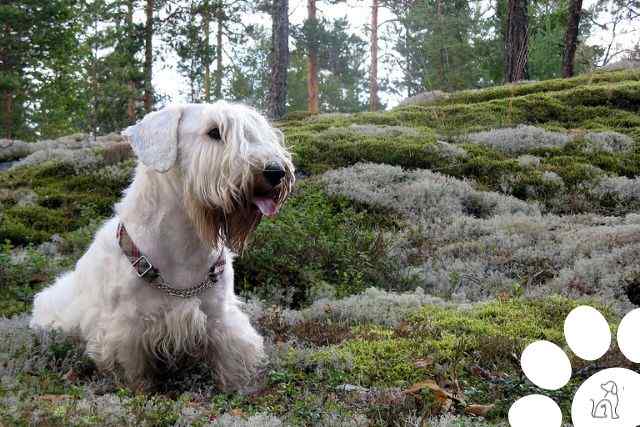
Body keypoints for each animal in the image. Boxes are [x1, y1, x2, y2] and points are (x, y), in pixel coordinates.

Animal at [30, 101, 296, 392]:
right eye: (214, 132)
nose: (276, 171)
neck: (185, 243)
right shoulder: (125, 328)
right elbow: (133, 370)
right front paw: (140, 391)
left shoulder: (219, 314)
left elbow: (231, 357)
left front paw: (240, 388)